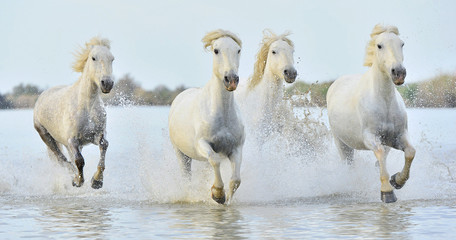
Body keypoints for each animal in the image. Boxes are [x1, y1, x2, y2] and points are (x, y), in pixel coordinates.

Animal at [33, 36, 114, 188]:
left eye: (112, 58)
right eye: (93, 58)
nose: (107, 83)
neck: (87, 106)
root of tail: (41, 97)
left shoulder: (95, 136)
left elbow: (104, 145)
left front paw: (97, 181)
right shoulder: (73, 140)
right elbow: (79, 160)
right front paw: (77, 181)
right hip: (46, 136)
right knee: (61, 158)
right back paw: (72, 174)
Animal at [168, 29, 246, 203]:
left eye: (238, 50)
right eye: (216, 50)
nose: (231, 80)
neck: (222, 115)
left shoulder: (236, 148)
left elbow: (236, 180)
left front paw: (226, 199)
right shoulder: (202, 144)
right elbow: (215, 160)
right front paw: (217, 194)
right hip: (181, 154)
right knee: (186, 178)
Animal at [328, 24, 416, 203]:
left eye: (402, 44)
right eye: (379, 45)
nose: (398, 73)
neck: (384, 103)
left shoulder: (398, 137)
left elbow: (410, 153)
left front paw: (397, 181)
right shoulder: (370, 137)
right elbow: (380, 154)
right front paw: (387, 192)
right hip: (342, 143)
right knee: (349, 165)